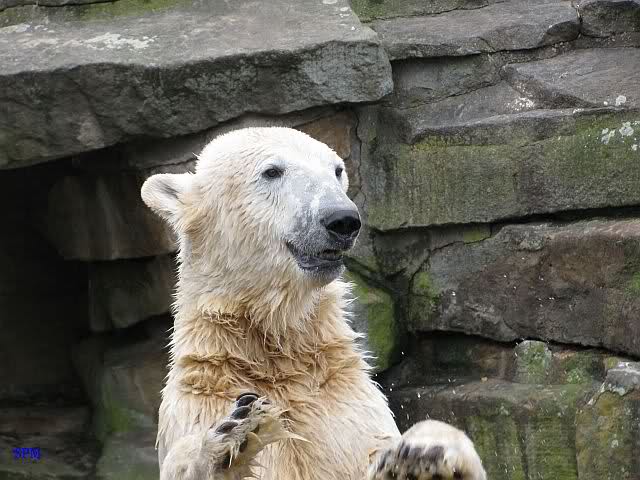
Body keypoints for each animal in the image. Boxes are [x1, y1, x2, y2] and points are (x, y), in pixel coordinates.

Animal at [141, 127, 486, 480]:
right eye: (272, 171)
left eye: (337, 170)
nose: (342, 219)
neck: (277, 352)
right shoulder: (203, 395)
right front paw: (233, 435)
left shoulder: (340, 398)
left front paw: (420, 454)